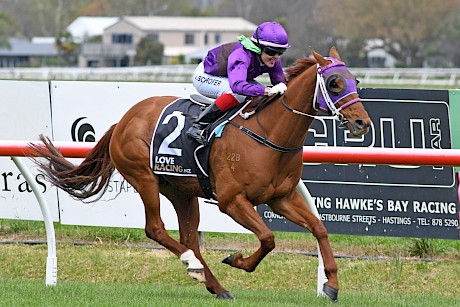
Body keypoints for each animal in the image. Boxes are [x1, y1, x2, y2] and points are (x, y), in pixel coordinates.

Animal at [29, 47, 370, 302]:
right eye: (335, 83)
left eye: (354, 80)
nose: (362, 123)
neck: (268, 133)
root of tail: (123, 121)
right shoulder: (232, 201)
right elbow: (268, 238)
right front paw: (238, 260)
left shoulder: (281, 198)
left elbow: (319, 229)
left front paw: (331, 285)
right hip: (144, 177)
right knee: (156, 229)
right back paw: (192, 265)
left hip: (181, 191)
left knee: (188, 237)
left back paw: (214, 284)